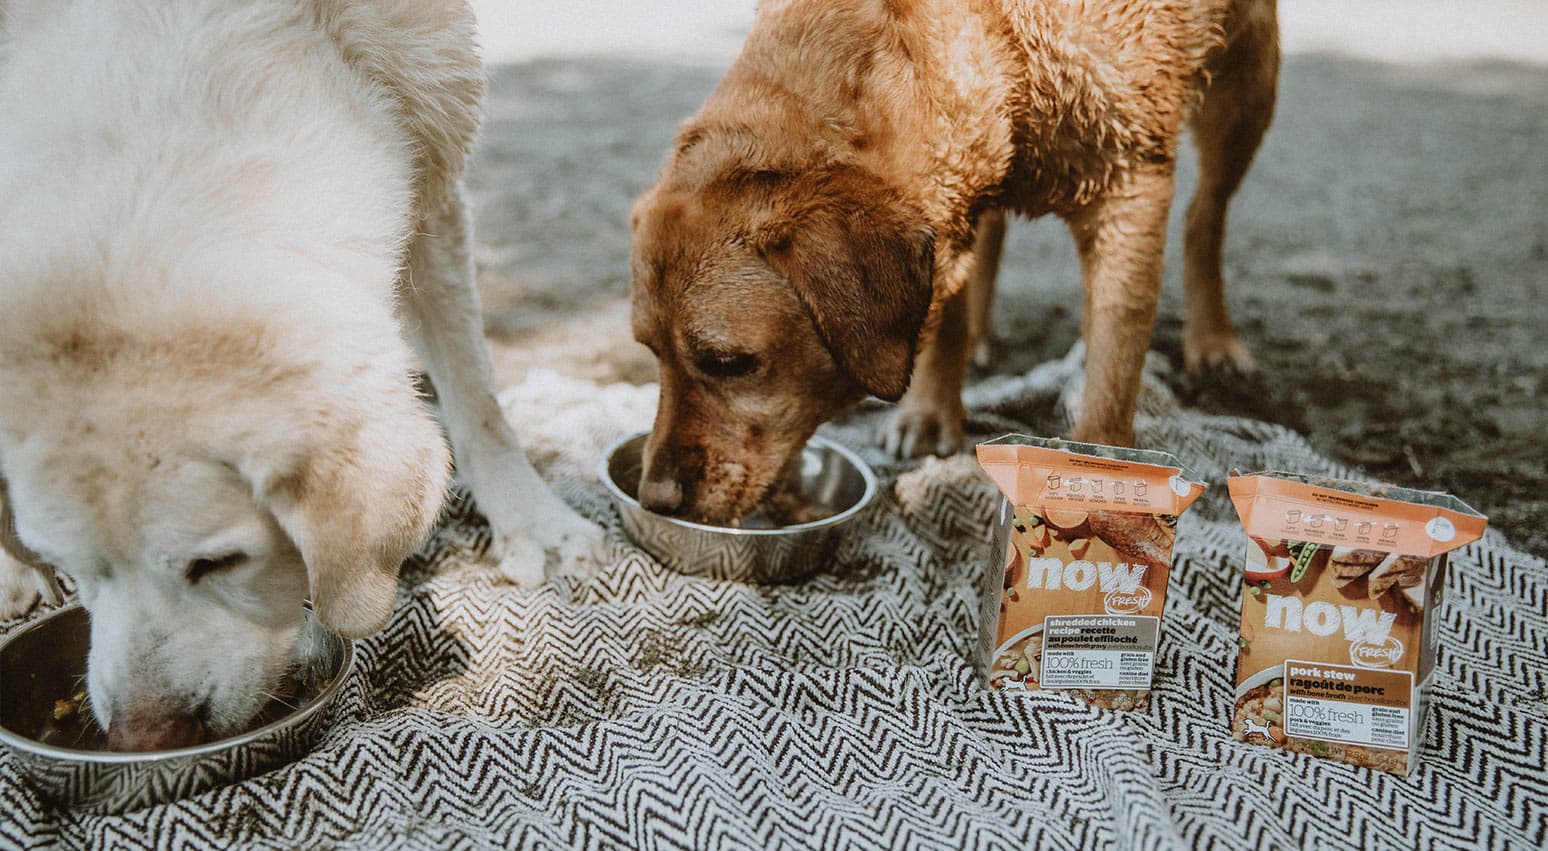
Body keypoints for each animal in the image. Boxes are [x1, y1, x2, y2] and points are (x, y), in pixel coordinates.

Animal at [0, 0, 597, 748]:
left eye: (219, 563)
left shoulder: (431, 175)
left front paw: (534, 523)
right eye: (77, 569)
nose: (144, 738)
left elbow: (479, 400)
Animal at [628, 0, 1281, 522]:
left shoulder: (1132, 188)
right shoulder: (955, 197)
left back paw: (1214, 341)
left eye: (728, 363)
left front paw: (1100, 477)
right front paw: (931, 411)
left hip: (1249, 85)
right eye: (651, 352)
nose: (655, 499)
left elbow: (1112, 373)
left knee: (1205, 215)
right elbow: (945, 313)